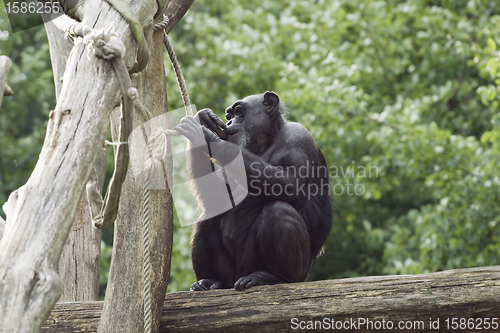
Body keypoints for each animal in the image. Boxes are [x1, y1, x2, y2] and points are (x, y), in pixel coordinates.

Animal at [174, 91, 334, 290]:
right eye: (228, 116)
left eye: (238, 111)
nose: (229, 122)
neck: (267, 141)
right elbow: (217, 197)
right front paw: (203, 118)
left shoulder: (299, 138)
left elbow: (290, 184)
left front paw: (204, 134)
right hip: (230, 274)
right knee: (209, 215)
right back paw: (209, 281)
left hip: (280, 270)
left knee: (279, 210)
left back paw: (273, 276)